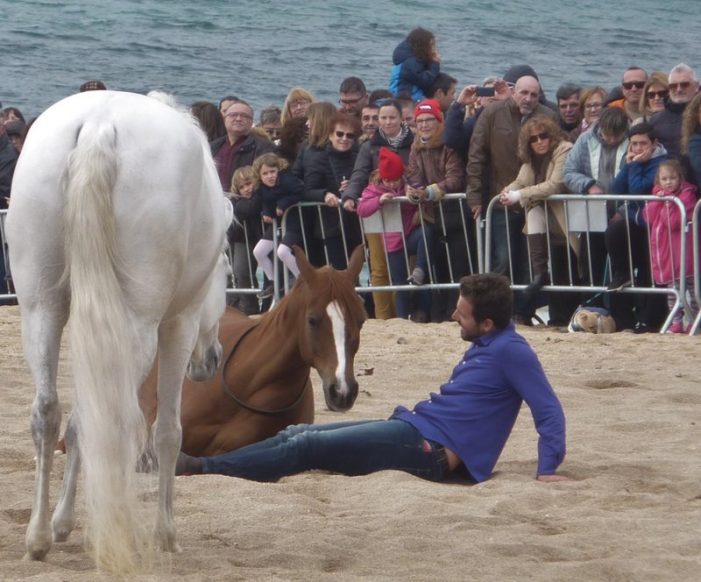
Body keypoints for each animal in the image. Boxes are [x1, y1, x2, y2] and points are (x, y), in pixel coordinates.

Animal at [5, 91, 232, 576]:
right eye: (226, 266)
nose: (213, 359)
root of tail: (98, 126)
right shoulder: (180, 325)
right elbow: (168, 432)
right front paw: (166, 534)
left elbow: (76, 424)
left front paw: (62, 523)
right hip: (138, 328)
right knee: (117, 419)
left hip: (39, 308)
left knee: (50, 412)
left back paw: (39, 537)